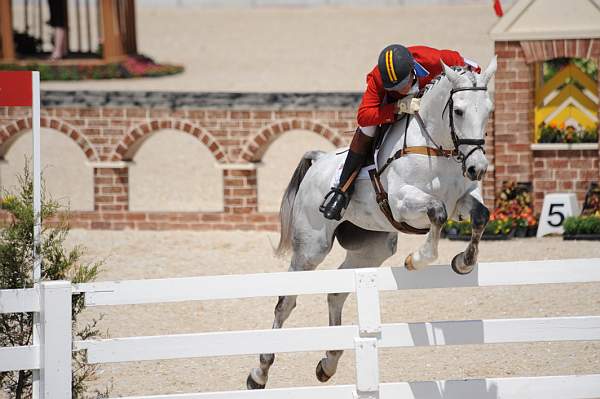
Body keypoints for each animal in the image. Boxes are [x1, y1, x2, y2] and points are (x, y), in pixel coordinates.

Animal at [247, 57, 496, 390]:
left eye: (489, 110)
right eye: (458, 111)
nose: (477, 168)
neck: (436, 149)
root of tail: (320, 160)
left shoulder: (462, 200)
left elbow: (480, 215)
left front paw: (464, 262)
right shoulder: (403, 203)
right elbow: (437, 213)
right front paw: (417, 259)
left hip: (372, 248)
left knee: (336, 292)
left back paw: (329, 363)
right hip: (311, 247)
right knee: (286, 301)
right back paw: (259, 372)